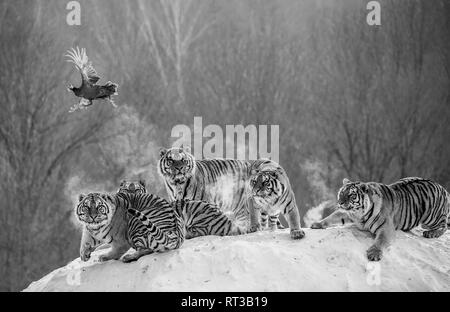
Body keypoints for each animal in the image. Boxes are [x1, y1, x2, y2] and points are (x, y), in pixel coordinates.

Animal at [312, 178, 448, 260]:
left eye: (351, 195)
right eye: (341, 193)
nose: (340, 202)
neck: (358, 214)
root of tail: (442, 187)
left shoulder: (385, 228)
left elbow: (380, 241)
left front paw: (374, 254)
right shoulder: (347, 214)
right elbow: (332, 216)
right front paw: (317, 224)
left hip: (431, 216)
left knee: (444, 225)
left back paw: (431, 233)